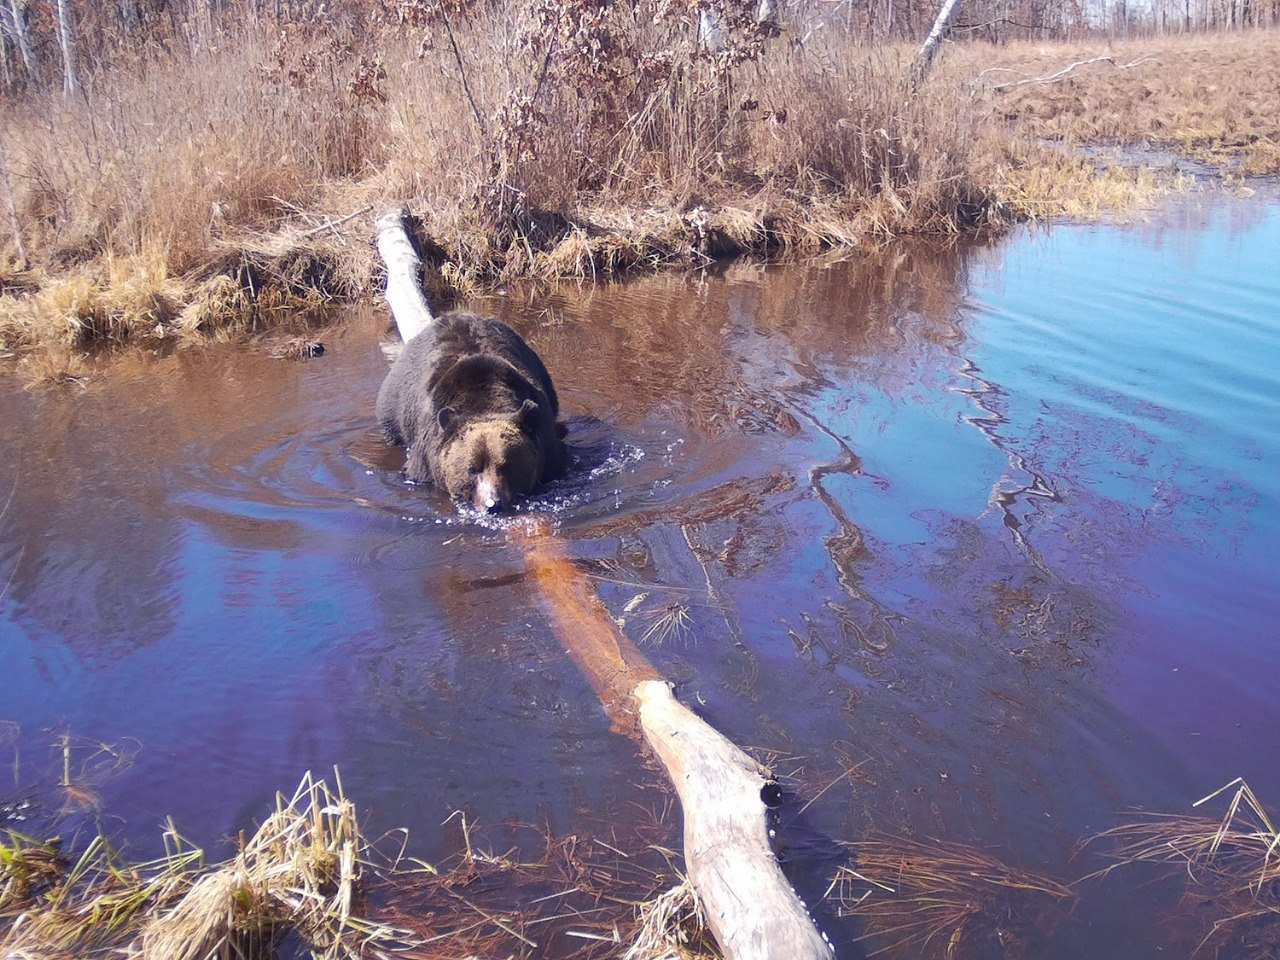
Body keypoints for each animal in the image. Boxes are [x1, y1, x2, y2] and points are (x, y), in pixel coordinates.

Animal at [373, 313, 565, 512]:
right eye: (473, 469)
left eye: (507, 466)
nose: (492, 504)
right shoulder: (425, 458)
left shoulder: (548, 448)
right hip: (393, 406)